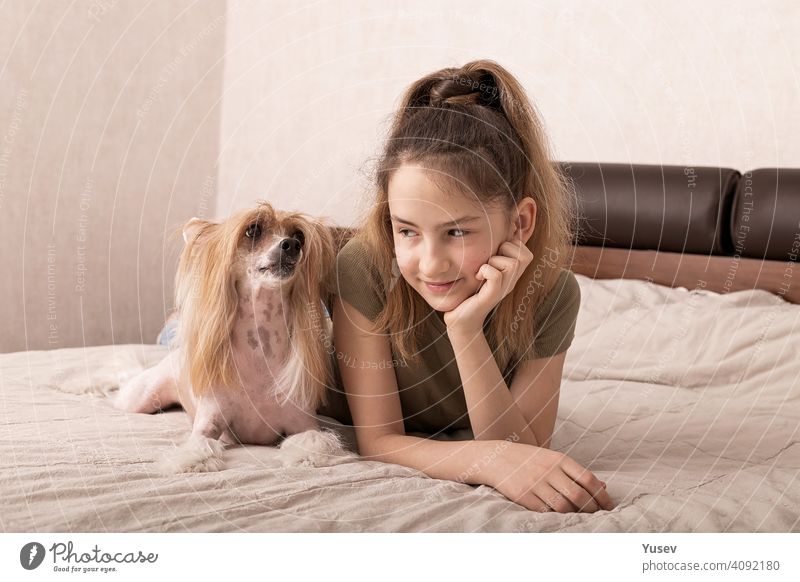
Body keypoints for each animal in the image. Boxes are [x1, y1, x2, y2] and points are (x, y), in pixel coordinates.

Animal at [109, 201, 354, 474]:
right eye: (253, 230)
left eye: (299, 235)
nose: (291, 245)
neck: (260, 349)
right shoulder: (210, 422)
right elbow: (199, 443)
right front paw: (191, 463)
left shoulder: (303, 424)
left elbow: (312, 441)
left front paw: (306, 458)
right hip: (139, 398)